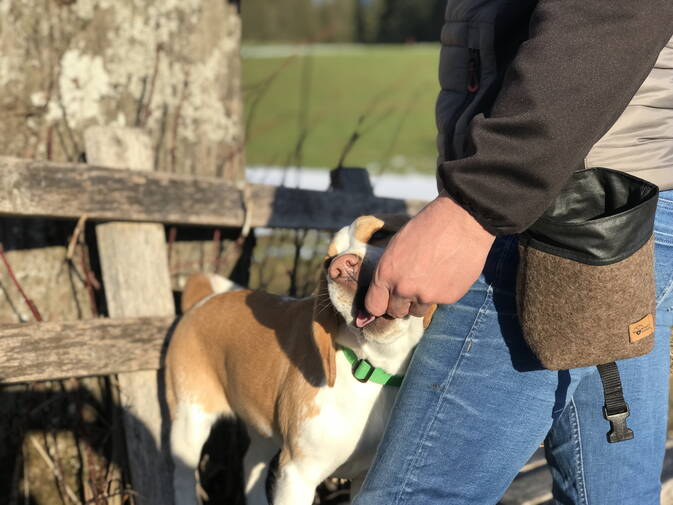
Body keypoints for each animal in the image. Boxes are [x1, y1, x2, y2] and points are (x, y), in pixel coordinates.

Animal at [163, 214, 436, 504]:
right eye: (328, 262)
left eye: (381, 234)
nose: (340, 268)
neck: (372, 370)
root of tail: (203, 300)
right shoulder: (297, 474)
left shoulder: (365, 479)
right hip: (190, 421)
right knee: (182, 475)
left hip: (262, 426)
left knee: (250, 464)